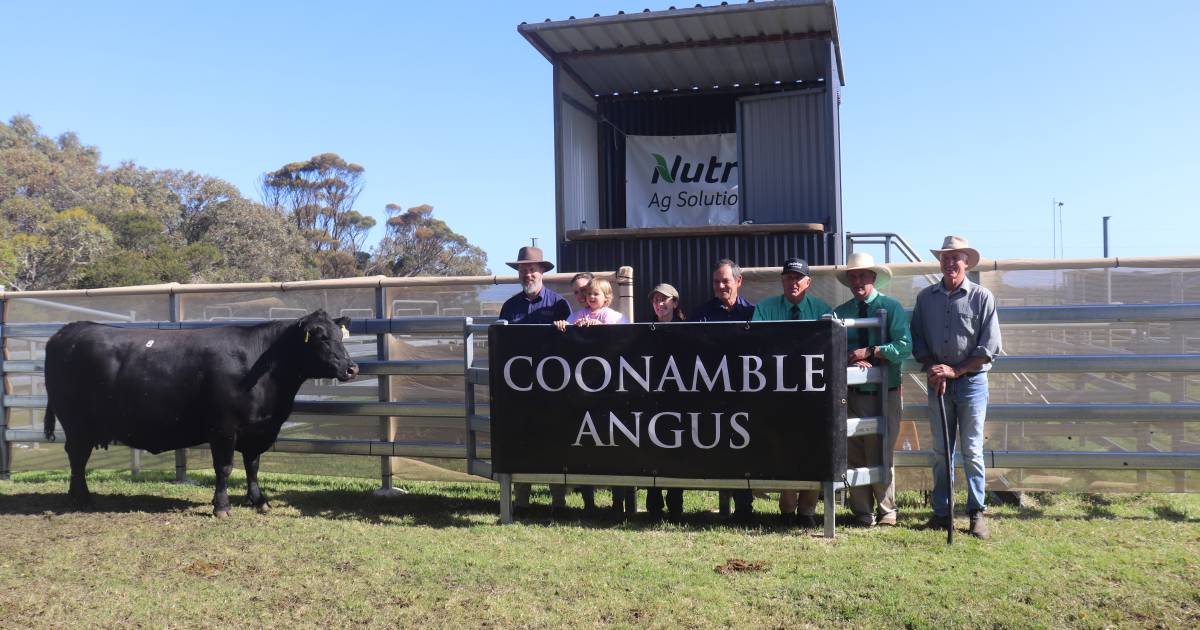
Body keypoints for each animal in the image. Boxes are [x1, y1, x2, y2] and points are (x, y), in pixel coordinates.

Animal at [43, 307, 360, 513]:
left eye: (340, 335)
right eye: (320, 337)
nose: (351, 368)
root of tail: (68, 330)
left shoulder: (258, 430)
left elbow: (253, 466)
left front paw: (259, 501)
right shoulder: (223, 428)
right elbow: (225, 467)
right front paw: (221, 506)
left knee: (77, 458)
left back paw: (75, 495)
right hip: (76, 423)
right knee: (77, 457)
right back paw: (83, 497)